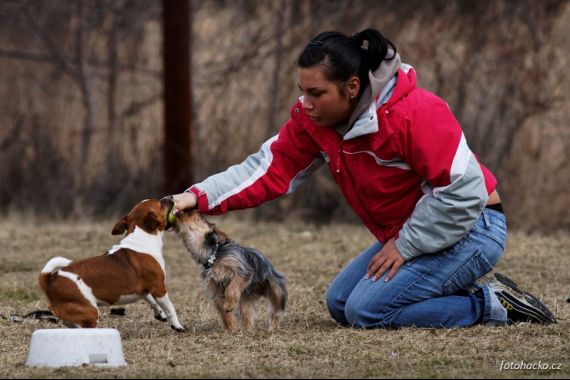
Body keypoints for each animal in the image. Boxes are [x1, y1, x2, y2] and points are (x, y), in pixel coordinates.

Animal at [37, 197, 183, 332]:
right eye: (160, 203)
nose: (170, 197)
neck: (142, 238)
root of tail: (49, 280)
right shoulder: (159, 288)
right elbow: (170, 308)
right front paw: (177, 325)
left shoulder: (146, 290)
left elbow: (152, 302)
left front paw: (160, 314)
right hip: (90, 312)